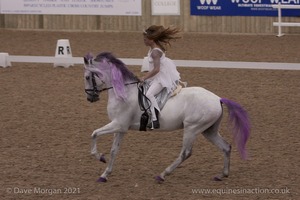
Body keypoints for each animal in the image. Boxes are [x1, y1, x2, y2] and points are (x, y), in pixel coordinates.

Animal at [83, 52, 250, 183]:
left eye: (87, 77)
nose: (90, 98)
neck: (124, 92)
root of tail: (218, 99)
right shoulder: (121, 128)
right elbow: (113, 150)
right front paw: (104, 174)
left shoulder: (118, 124)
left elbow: (94, 134)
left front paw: (99, 157)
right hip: (208, 131)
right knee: (226, 147)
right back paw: (222, 175)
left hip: (192, 129)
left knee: (185, 153)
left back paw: (162, 175)